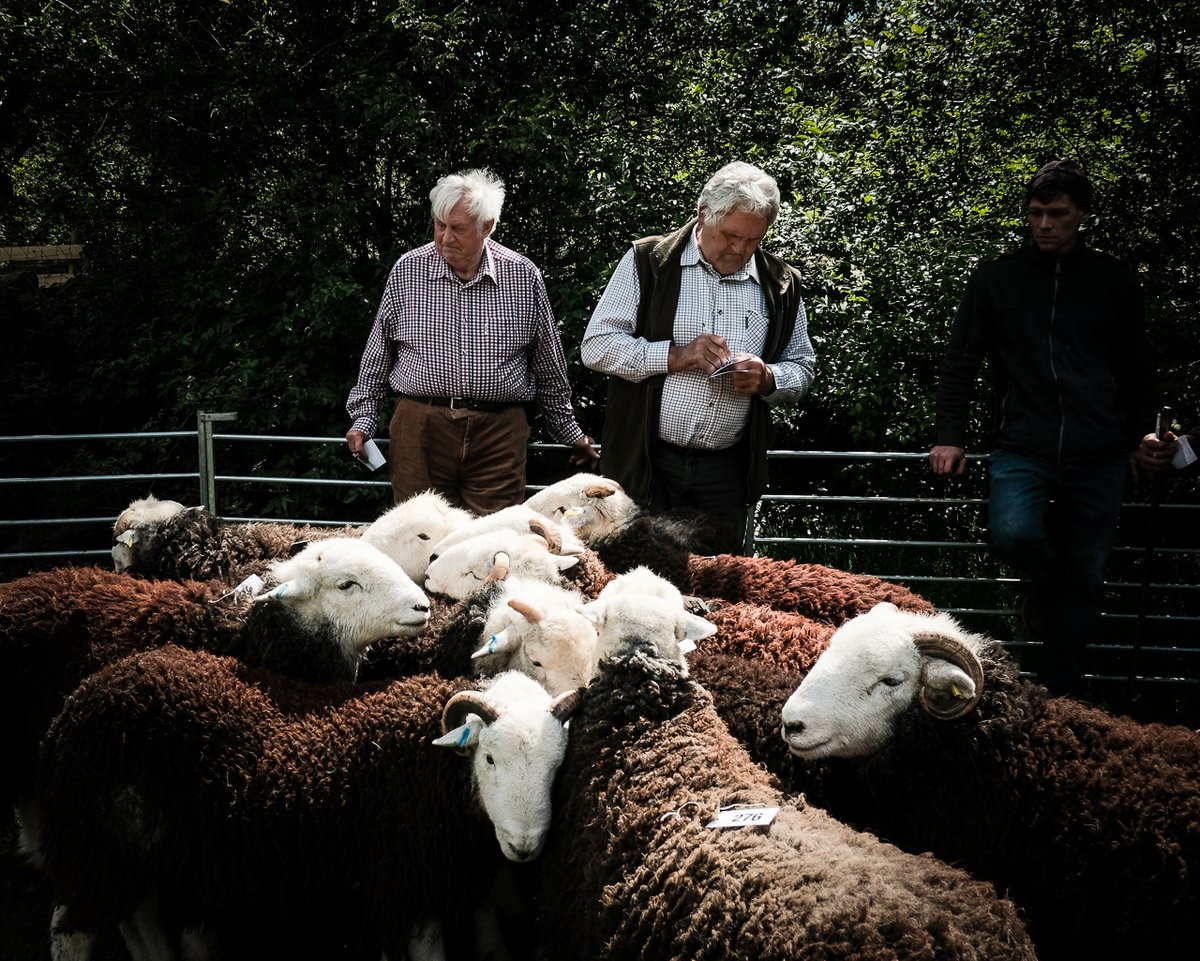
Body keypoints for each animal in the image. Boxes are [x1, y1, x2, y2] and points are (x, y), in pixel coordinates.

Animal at [35, 643, 578, 959]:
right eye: (488, 758)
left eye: (557, 768)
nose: (526, 846)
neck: (432, 766)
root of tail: (81, 700)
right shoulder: (407, 876)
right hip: (93, 833)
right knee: (71, 930)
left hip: (132, 840)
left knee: (137, 911)